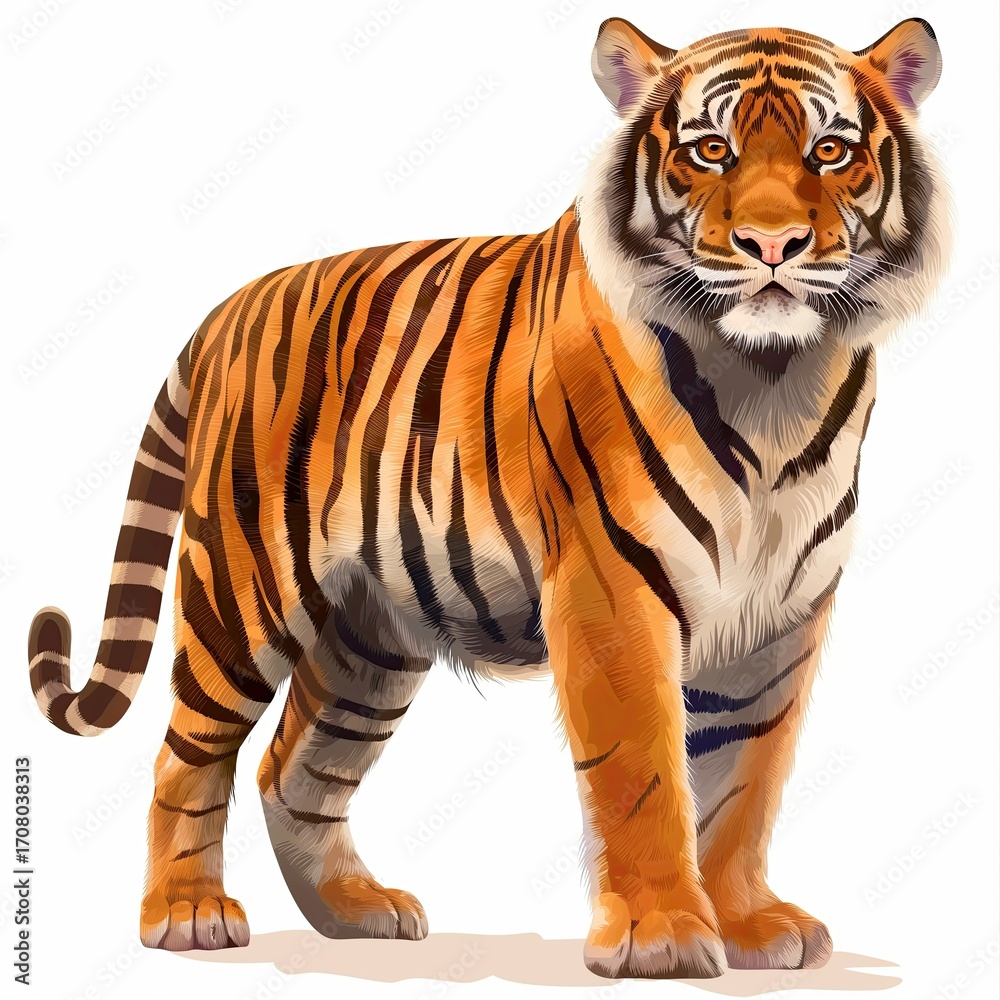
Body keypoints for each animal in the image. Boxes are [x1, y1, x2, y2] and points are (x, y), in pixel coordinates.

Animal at [27, 16, 947, 979]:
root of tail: (229, 309)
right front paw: (659, 936)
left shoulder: (781, 613)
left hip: (372, 638)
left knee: (294, 767)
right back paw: (186, 913)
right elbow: (646, 771)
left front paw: (748, 923)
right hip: (242, 591)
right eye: (711, 151)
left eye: (830, 150)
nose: (774, 246)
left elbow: (746, 777)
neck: (774, 379)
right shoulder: (614, 589)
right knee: (186, 755)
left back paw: (355, 910)